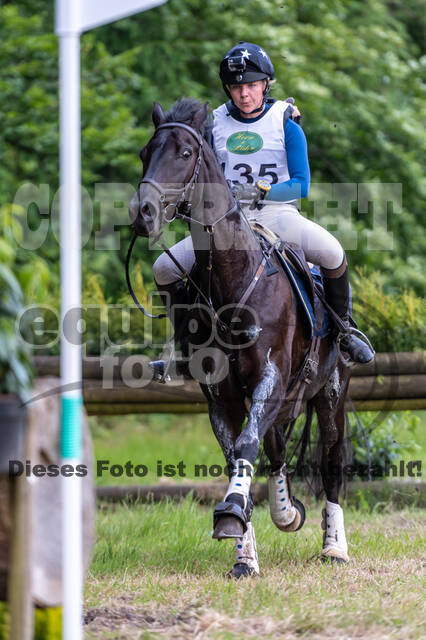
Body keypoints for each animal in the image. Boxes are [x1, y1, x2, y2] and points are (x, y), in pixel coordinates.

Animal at [128, 97, 352, 578]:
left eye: (185, 154)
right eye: (145, 153)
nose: (143, 213)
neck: (233, 278)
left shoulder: (270, 377)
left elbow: (248, 445)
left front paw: (233, 512)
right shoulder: (222, 395)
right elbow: (237, 454)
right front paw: (244, 550)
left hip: (331, 392)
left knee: (331, 463)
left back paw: (334, 547)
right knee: (277, 448)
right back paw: (285, 512)